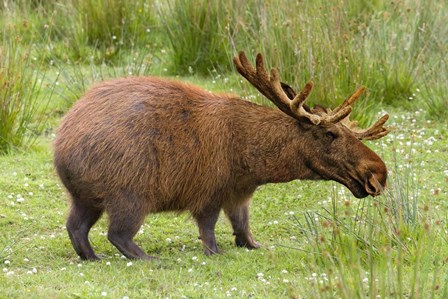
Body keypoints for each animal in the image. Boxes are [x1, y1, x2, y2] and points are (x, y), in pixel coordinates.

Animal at [53, 51, 388, 260]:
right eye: (330, 134)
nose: (379, 173)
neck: (254, 160)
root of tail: (59, 148)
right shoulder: (209, 191)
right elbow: (209, 230)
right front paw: (216, 252)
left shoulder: (239, 193)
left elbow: (243, 226)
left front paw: (253, 245)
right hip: (130, 195)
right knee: (118, 234)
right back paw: (149, 258)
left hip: (85, 197)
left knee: (76, 228)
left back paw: (93, 257)